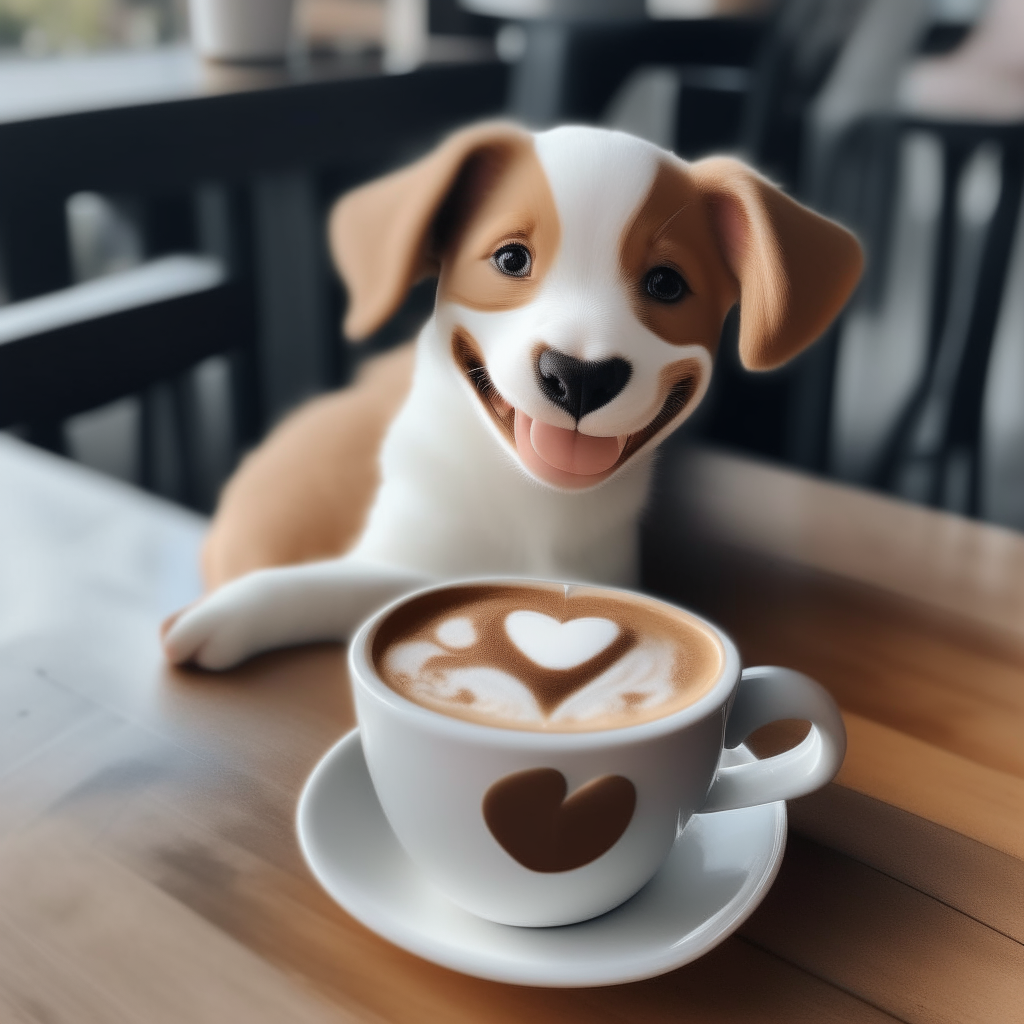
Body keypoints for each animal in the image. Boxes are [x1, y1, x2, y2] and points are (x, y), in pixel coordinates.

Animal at [161, 121, 864, 671]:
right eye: (510, 260)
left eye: (666, 283)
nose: (579, 375)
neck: (533, 506)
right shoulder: (407, 556)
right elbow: (351, 584)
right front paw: (232, 611)